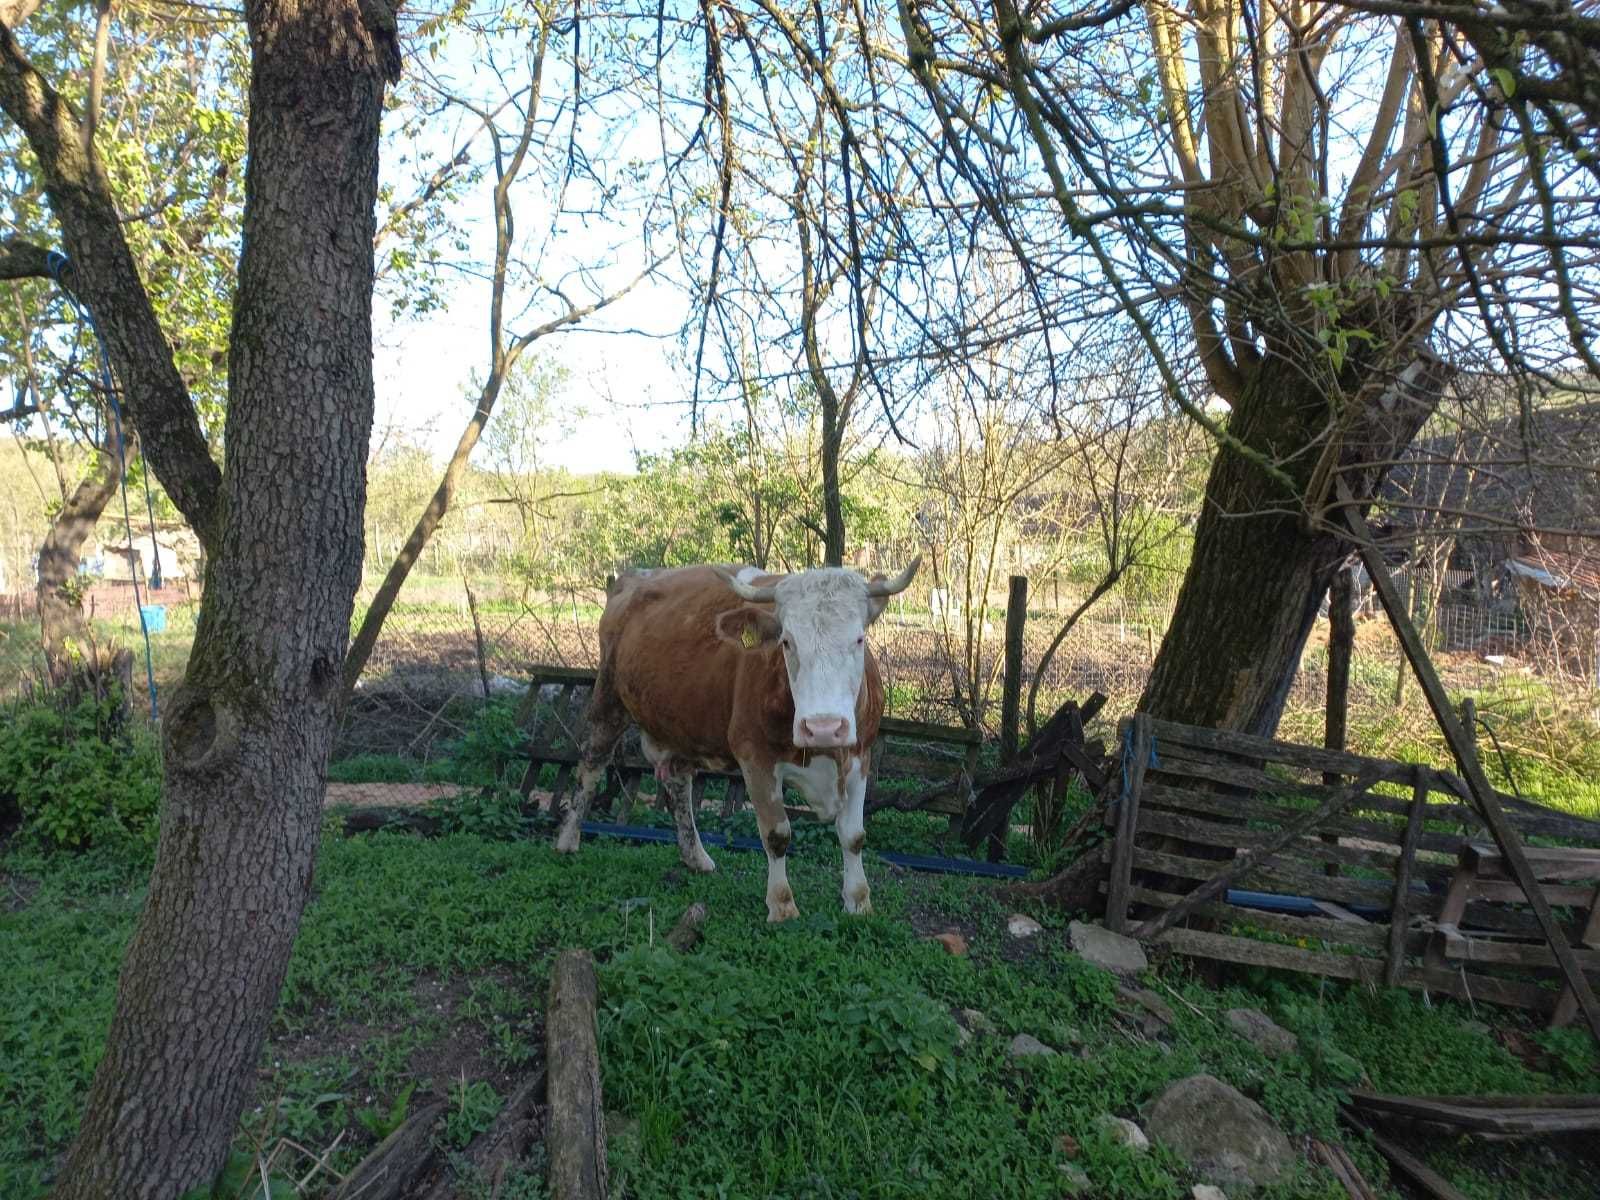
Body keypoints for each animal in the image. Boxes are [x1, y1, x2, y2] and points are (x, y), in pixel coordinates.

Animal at [553, 563, 921, 921]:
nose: (823, 727)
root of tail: (634, 577)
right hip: (608, 699)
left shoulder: (860, 755)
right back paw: (567, 840)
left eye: (859, 639)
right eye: (786, 642)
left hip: (680, 722)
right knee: (591, 765)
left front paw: (858, 901)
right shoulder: (755, 758)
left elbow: (854, 836)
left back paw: (696, 857)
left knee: (678, 783)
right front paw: (782, 905)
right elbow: (776, 834)